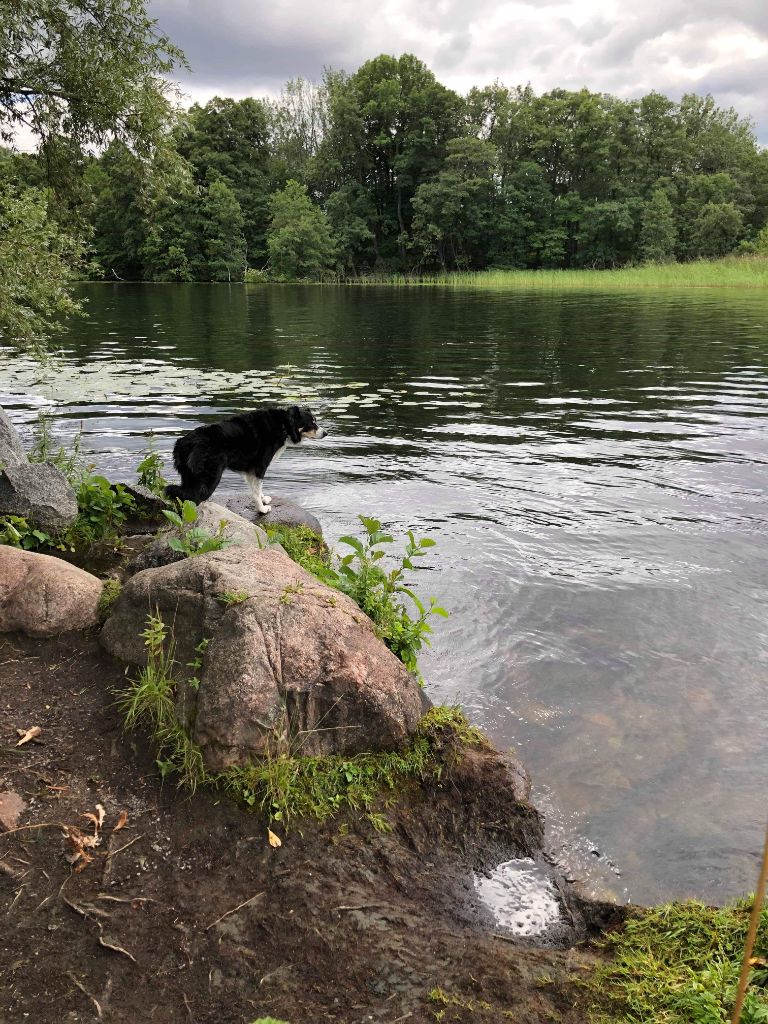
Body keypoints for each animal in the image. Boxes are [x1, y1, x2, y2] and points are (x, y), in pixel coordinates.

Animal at [165, 401, 327, 509]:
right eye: (311, 423)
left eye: (316, 422)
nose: (326, 433)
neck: (284, 425)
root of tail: (183, 443)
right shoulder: (260, 466)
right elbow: (256, 489)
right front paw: (262, 509)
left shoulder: (250, 470)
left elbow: (257, 489)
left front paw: (263, 499)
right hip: (210, 478)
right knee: (192, 498)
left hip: (189, 476)